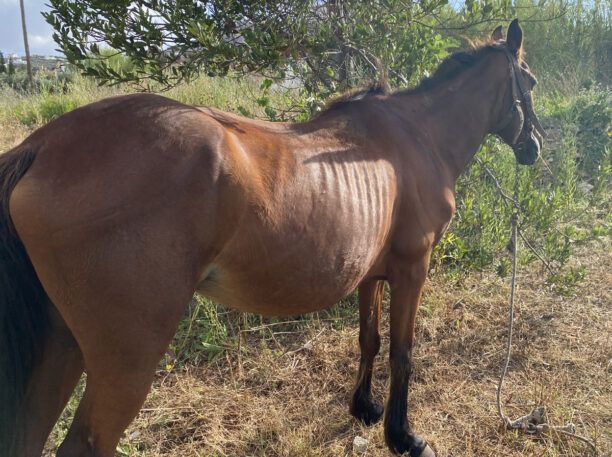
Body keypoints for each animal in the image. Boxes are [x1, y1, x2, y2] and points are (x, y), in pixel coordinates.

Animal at [0, 20, 544, 456]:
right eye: (532, 80)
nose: (535, 148)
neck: (416, 137)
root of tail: (41, 145)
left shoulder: (373, 273)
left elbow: (369, 339)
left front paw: (364, 408)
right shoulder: (413, 269)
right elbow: (402, 351)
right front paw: (403, 436)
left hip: (60, 348)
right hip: (125, 360)